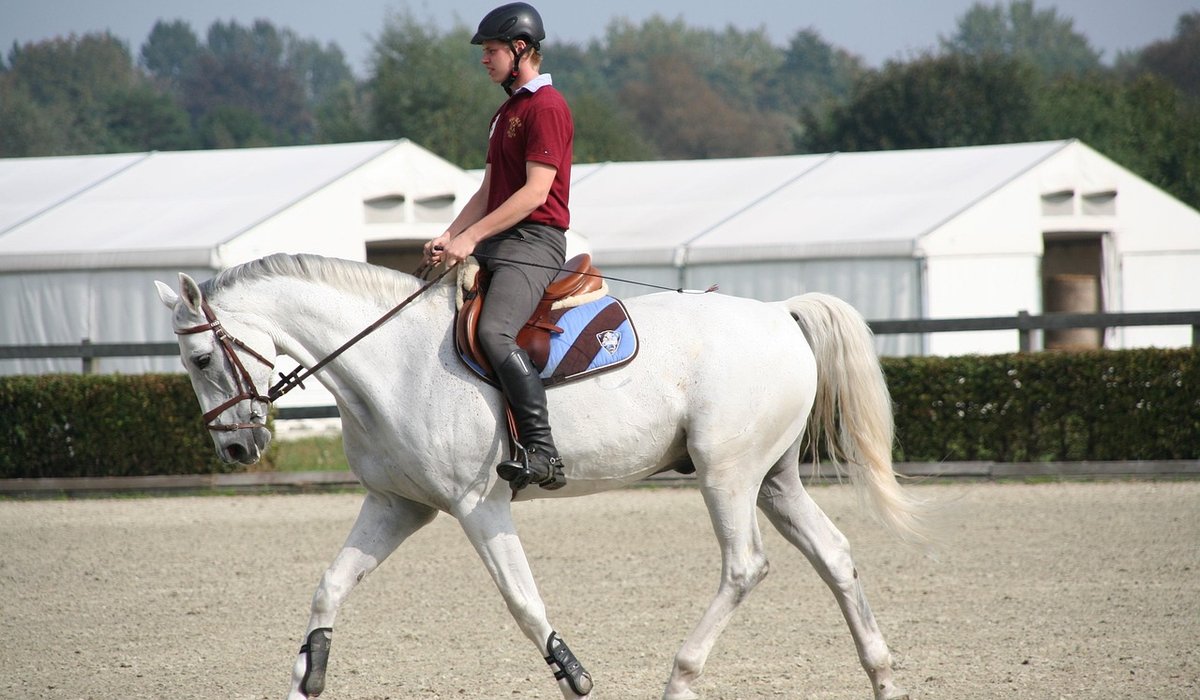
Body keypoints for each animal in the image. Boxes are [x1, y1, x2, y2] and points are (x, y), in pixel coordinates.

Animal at [154, 252, 925, 700]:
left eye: (200, 360)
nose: (235, 449)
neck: (391, 364)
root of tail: (778, 314)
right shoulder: (398, 505)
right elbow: (330, 586)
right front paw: (308, 673)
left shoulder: (479, 505)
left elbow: (524, 605)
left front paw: (575, 677)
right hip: (772, 478)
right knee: (834, 556)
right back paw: (883, 676)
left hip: (726, 474)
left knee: (744, 566)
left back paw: (680, 678)